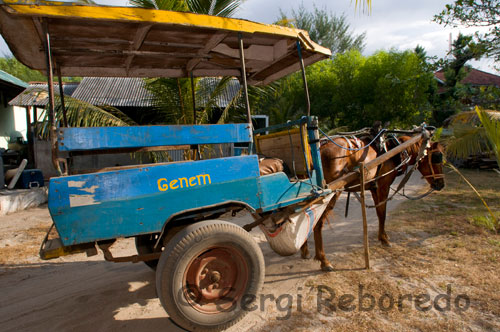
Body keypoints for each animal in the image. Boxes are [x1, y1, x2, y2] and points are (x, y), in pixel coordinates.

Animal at [300, 134, 446, 272]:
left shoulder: (375, 189)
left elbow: (379, 213)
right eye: (437, 157)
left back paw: (305, 250)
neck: (392, 150)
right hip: (332, 193)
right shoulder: (383, 186)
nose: (441, 184)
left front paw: (382, 236)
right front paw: (384, 239)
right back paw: (324, 260)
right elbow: (382, 213)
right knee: (318, 223)